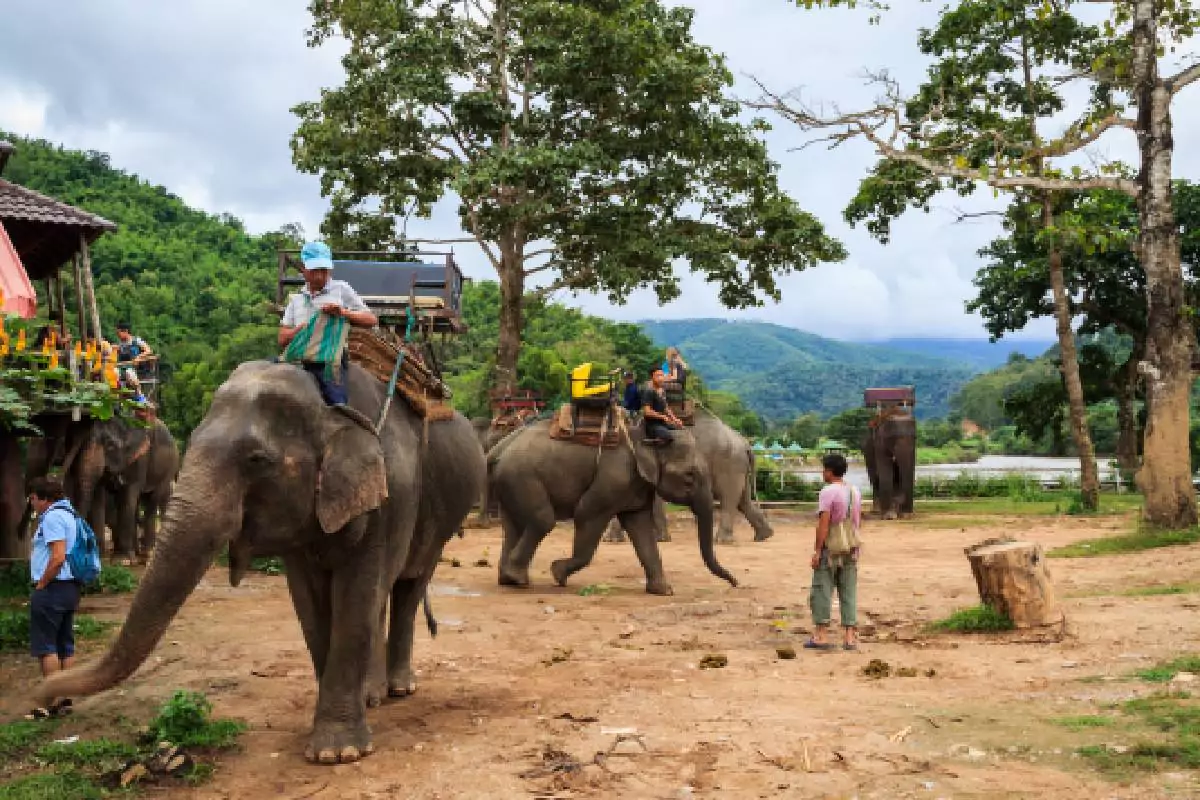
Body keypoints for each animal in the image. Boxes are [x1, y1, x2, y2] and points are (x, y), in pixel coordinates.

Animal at [65, 416, 179, 560]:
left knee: (153, 500)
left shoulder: (140, 457)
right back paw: (136, 553)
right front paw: (101, 556)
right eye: (81, 443)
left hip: (168, 469)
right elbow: (98, 495)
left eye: (110, 446)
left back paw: (147, 553)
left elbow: (129, 494)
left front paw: (122, 559)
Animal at [488, 416, 736, 595]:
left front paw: (664, 591)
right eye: (689, 476)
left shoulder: (636, 485)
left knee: (513, 526)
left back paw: (509, 580)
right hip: (522, 476)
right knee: (542, 520)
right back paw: (518, 580)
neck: (643, 437)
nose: (735, 583)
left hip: (509, 482)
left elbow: (640, 528)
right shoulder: (613, 478)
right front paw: (557, 574)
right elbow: (586, 513)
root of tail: (498, 450)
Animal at [604, 409, 773, 545]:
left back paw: (722, 541)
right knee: (743, 501)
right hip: (740, 467)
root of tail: (745, 443)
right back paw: (764, 536)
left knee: (729, 499)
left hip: (730, 464)